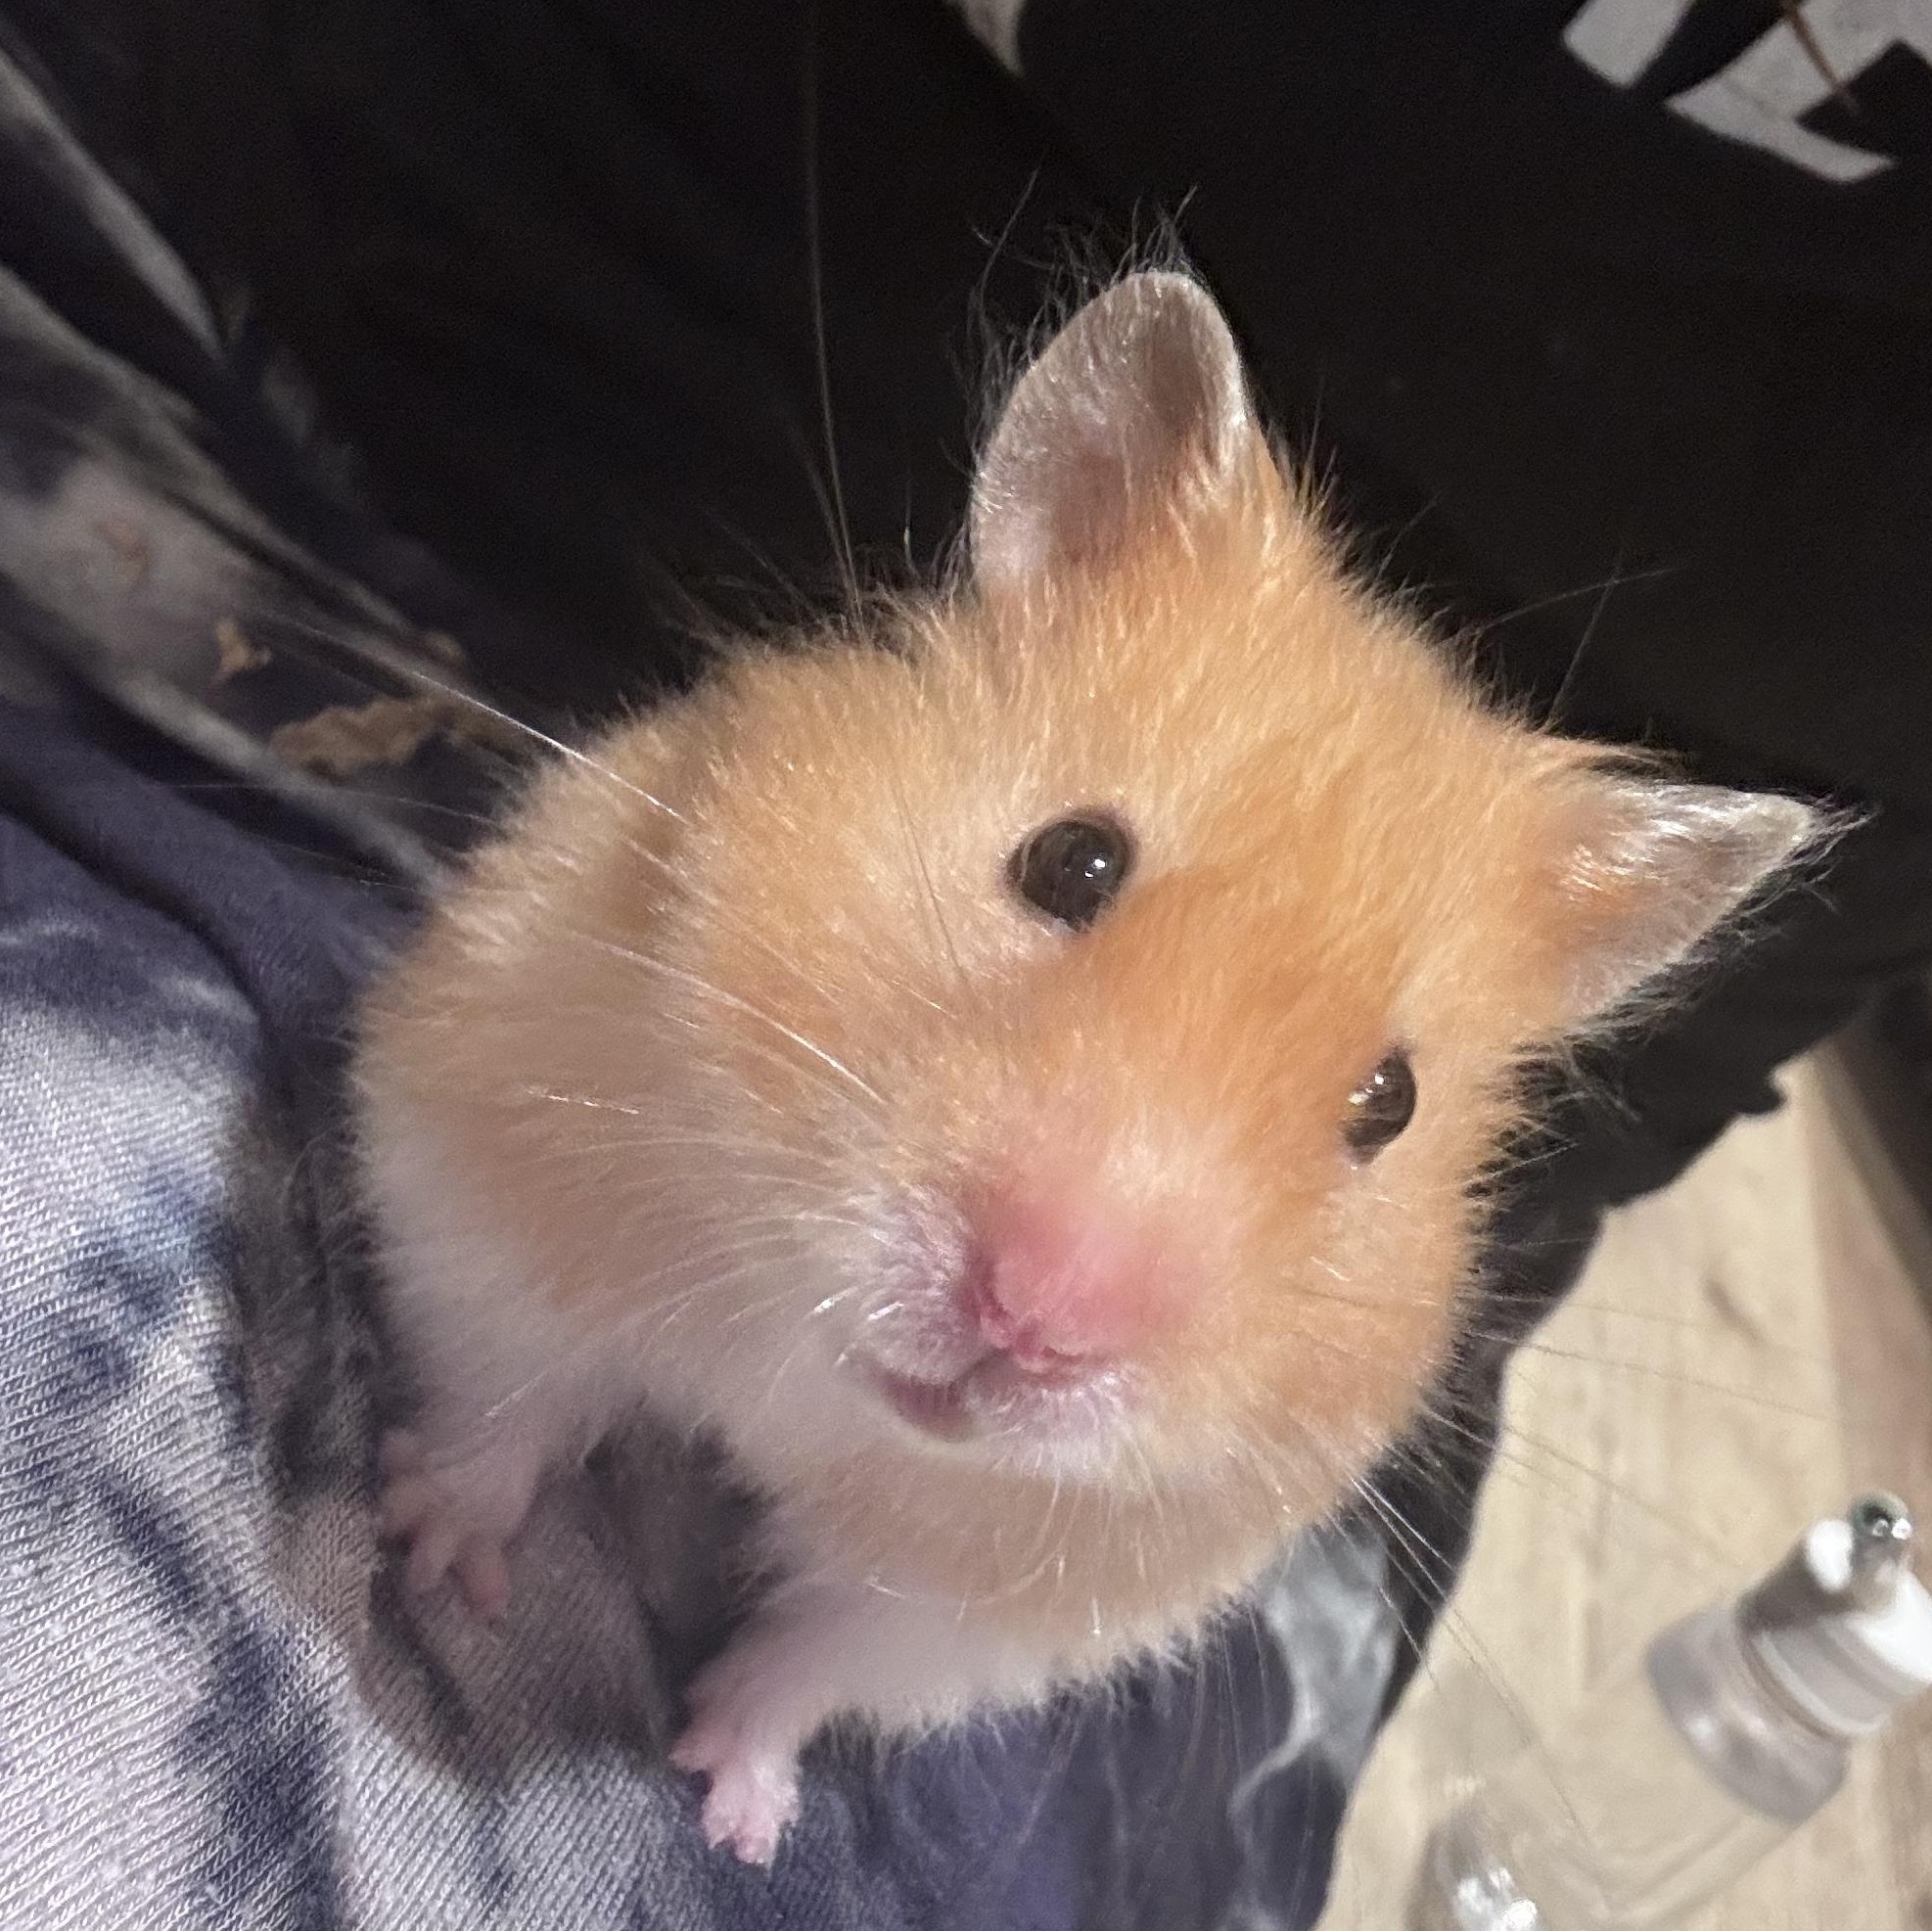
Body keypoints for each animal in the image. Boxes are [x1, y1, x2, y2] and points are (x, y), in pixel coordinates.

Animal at [354, 271, 1822, 1862]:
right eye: (1070, 860)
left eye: (1391, 1102)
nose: (1038, 1317)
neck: (822, 1379)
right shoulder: (497, 1192)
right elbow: (502, 1399)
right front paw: (432, 1568)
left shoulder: (993, 1599)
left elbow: (811, 1662)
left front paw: (733, 1803)